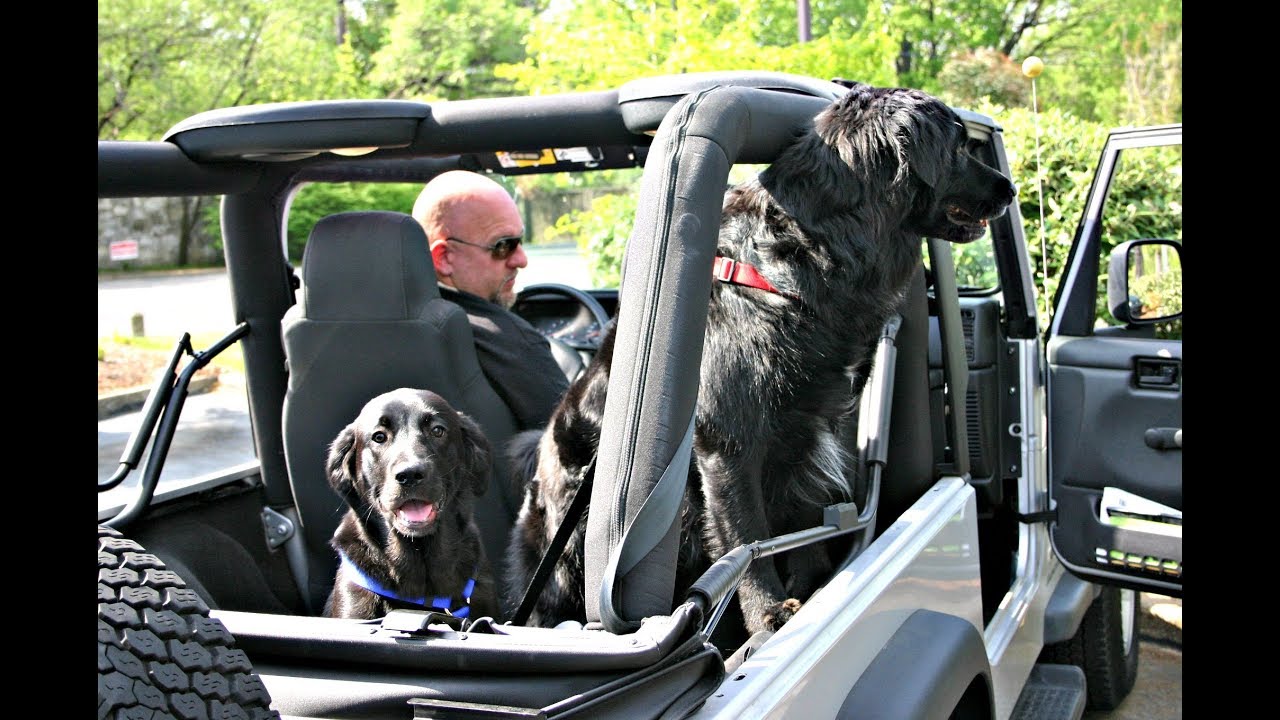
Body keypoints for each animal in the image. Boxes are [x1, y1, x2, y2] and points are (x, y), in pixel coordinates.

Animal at [504, 82, 1013, 632]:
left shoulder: (809, 425)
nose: (1010, 188)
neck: (797, 260)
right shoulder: (727, 442)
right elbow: (746, 537)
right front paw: (769, 610)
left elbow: (806, 511)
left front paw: (813, 584)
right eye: (958, 147)